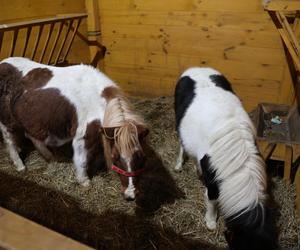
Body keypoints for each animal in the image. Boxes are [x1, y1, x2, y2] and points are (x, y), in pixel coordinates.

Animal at [0, 57, 149, 200]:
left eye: (142, 157)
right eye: (115, 157)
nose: (131, 195)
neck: (97, 101)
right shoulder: (82, 137)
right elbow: (81, 160)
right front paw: (84, 181)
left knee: (32, 136)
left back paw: (50, 157)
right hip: (6, 122)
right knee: (10, 142)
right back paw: (20, 166)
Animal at [175, 67, 278, 249]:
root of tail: (196, 68)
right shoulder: (213, 182)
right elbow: (211, 200)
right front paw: (210, 222)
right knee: (181, 144)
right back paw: (179, 165)